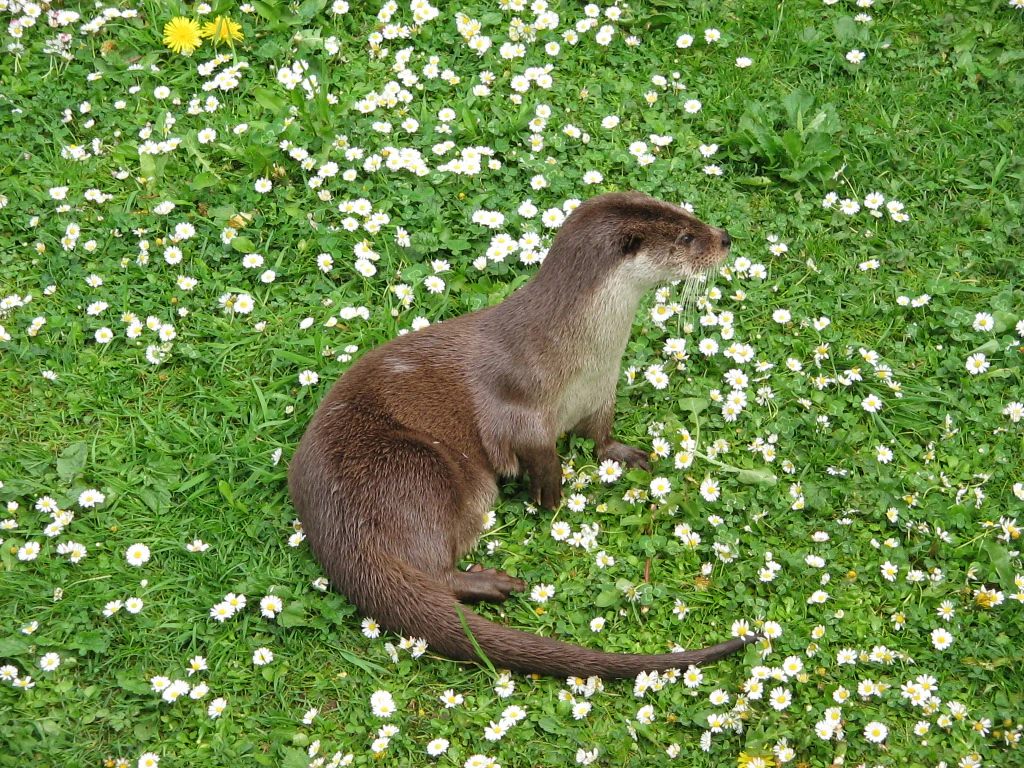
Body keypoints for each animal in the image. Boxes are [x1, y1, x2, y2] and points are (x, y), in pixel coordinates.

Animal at [289, 191, 756, 678]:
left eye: (687, 213)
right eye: (685, 238)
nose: (724, 238)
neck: (581, 353)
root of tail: (334, 527)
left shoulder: (601, 390)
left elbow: (601, 434)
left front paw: (622, 454)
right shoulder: (517, 401)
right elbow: (535, 449)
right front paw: (550, 490)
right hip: (415, 469)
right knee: (434, 570)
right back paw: (491, 582)